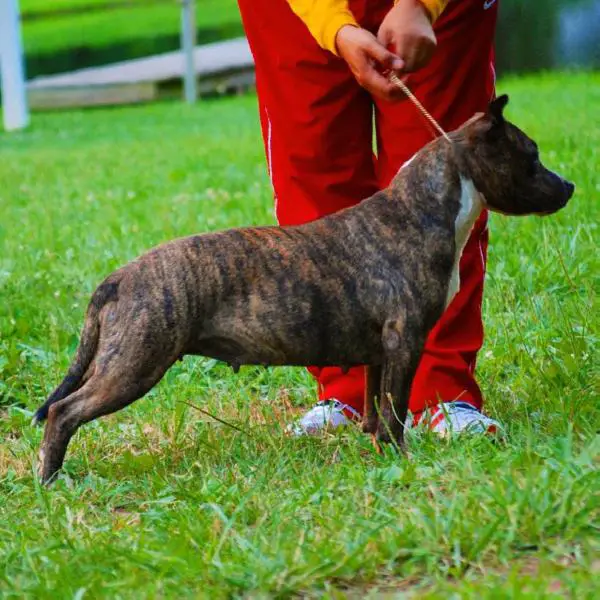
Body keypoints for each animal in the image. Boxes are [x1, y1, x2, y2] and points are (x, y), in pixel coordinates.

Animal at [35, 97, 576, 482]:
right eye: (531, 156)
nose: (569, 187)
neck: (424, 207)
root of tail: (118, 278)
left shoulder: (379, 351)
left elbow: (377, 409)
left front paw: (379, 453)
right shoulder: (406, 342)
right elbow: (397, 410)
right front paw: (405, 460)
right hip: (134, 365)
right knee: (63, 412)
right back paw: (53, 479)